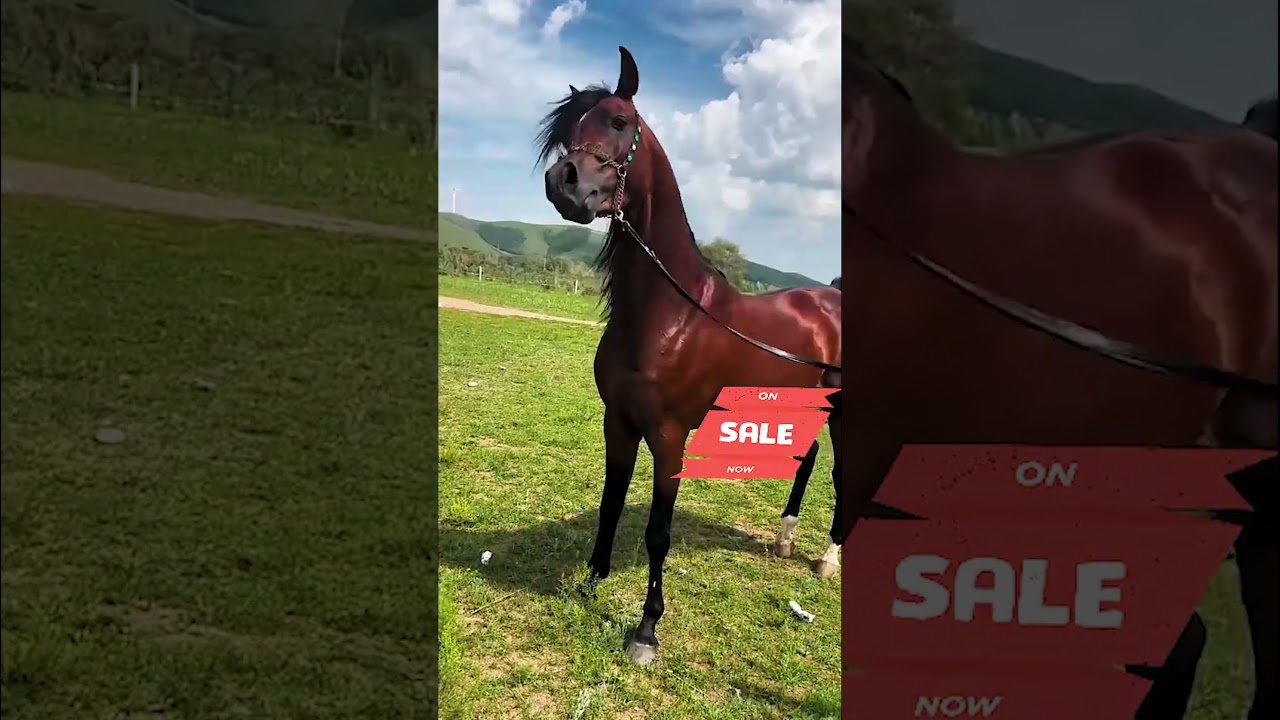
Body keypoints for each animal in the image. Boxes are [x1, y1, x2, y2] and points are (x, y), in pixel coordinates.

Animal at [539, 46, 843, 666]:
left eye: (618, 122)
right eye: (569, 129)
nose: (565, 184)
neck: (670, 315)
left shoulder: (670, 435)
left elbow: (658, 532)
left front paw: (645, 631)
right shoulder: (618, 422)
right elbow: (609, 503)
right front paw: (590, 582)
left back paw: (826, 560)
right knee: (806, 460)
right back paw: (783, 541)